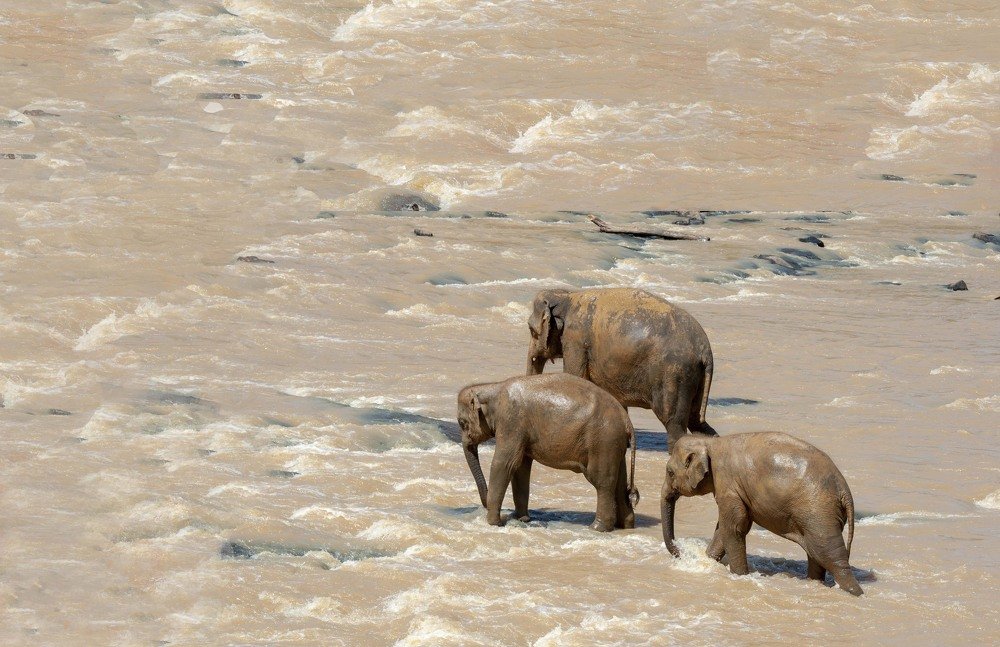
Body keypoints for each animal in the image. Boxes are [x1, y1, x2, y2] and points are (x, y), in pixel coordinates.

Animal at [457, 373, 639, 532]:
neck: (493, 387)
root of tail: (627, 421)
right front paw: (522, 519)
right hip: (614, 444)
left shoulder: (511, 421)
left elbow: (504, 464)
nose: (485, 504)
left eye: (462, 423)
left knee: (602, 482)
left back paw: (597, 528)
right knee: (619, 483)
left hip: (603, 440)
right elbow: (520, 467)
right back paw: (625, 526)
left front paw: (494, 523)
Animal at [526, 287, 716, 448]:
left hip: (675, 374)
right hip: (694, 377)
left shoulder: (575, 340)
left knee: (673, 422)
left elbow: (576, 376)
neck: (567, 296)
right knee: (697, 421)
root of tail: (705, 350)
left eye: (531, 329)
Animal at [660, 432, 863, 596]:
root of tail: (845, 491)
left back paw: (856, 592)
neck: (709, 442)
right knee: (816, 553)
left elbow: (733, 528)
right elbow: (724, 529)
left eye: (670, 472)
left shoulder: (728, 485)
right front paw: (709, 561)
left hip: (819, 512)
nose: (680, 553)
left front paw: (740, 576)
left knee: (830, 555)